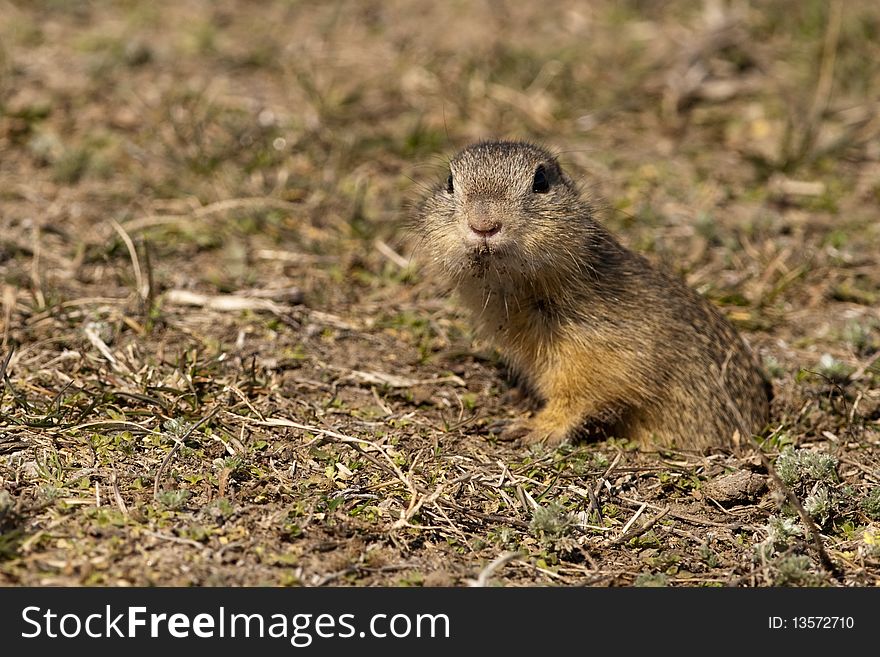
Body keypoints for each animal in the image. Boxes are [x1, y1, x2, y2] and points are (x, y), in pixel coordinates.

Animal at [416, 140, 768, 452]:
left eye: (541, 181)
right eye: (450, 182)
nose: (484, 225)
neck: (520, 291)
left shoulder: (607, 353)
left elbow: (582, 395)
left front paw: (531, 428)